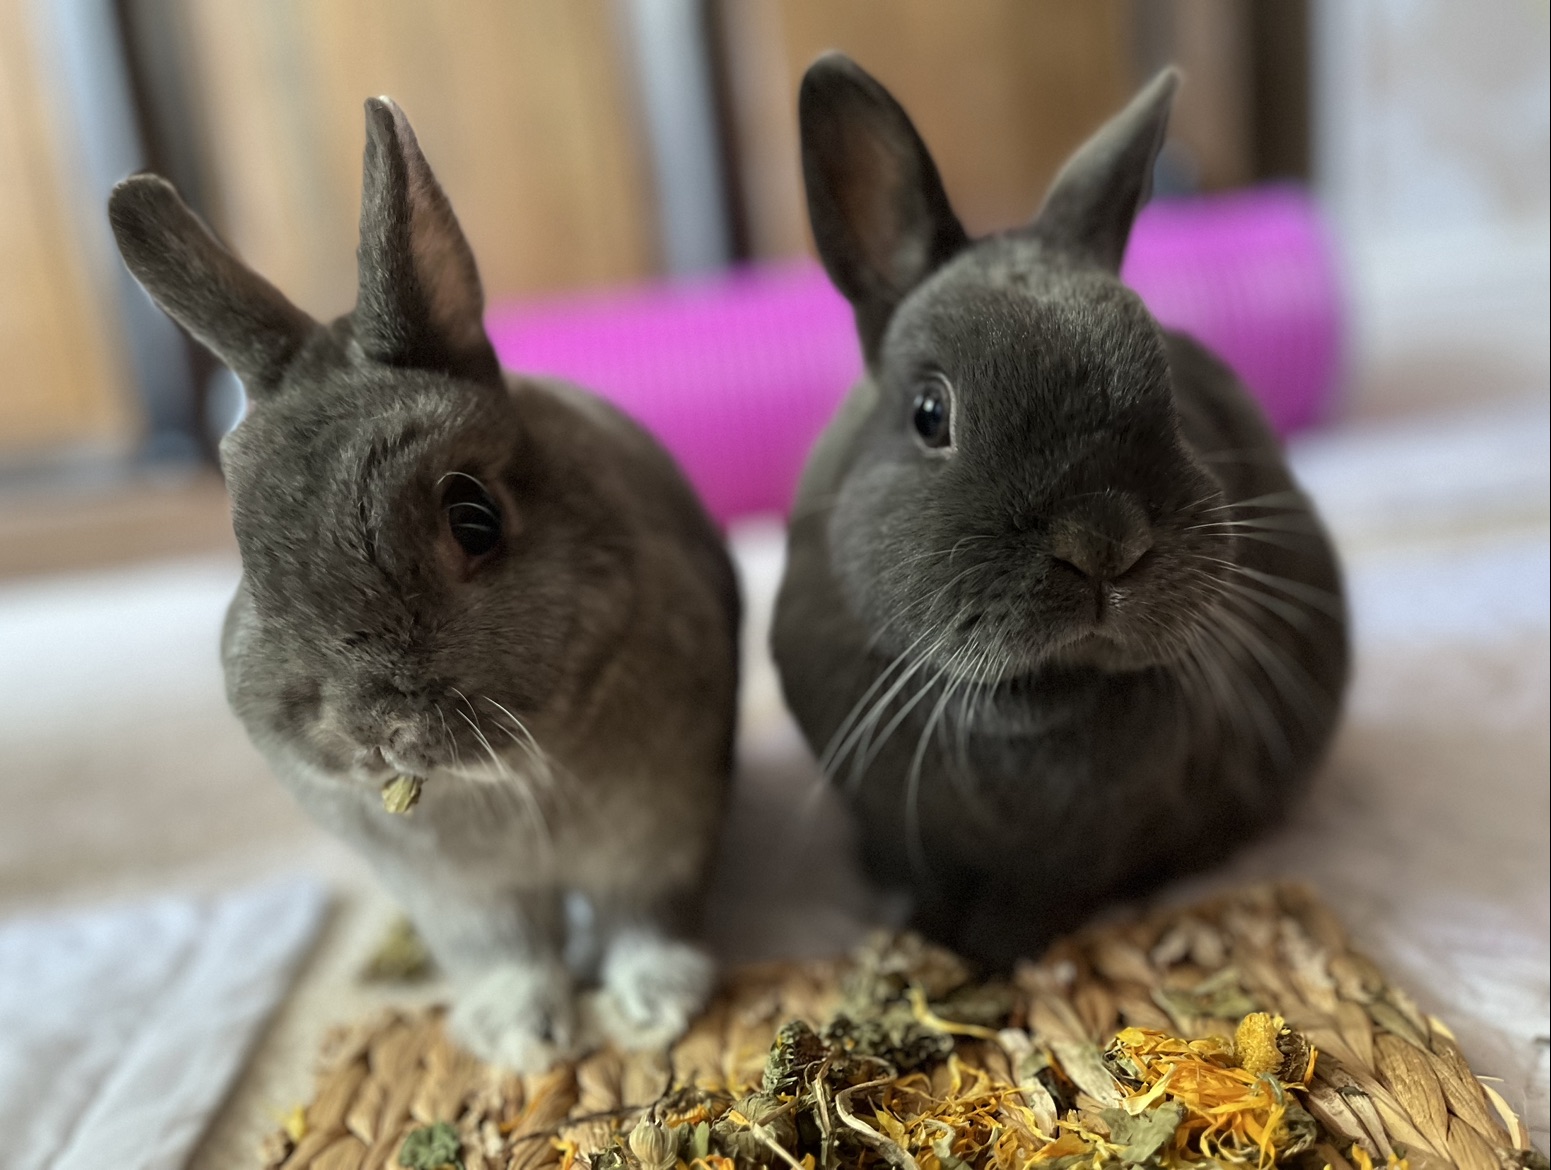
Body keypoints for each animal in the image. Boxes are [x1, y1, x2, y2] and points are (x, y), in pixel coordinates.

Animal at [107, 98, 738, 1067]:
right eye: (245, 550)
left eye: (474, 518)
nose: (371, 732)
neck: (510, 770)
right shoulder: (458, 896)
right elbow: (503, 950)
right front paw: (523, 1036)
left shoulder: (658, 836)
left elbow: (643, 921)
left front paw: (652, 1010)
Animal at [772, 54, 1346, 968]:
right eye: (930, 414)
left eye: (1166, 386)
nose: (1102, 540)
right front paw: (924, 936)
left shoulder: (1076, 861)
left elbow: (1036, 899)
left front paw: (989, 953)